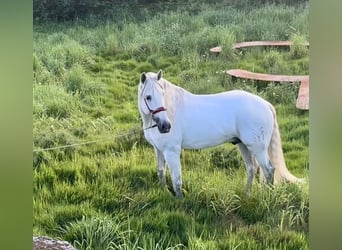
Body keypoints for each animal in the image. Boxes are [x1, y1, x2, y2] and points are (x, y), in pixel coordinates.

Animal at [138, 70, 304, 197]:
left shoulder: (171, 151)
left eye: (162, 94)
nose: (165, 126)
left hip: (258, 148)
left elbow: (176, 180)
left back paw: (267, 198)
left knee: (269, 170)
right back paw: (246, 195)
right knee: (252, 168)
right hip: (243, 145)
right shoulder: (159, 149)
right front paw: (164, 192)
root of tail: (266, 104)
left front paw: (179, 201)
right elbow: (161, 171)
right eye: (148, 97)